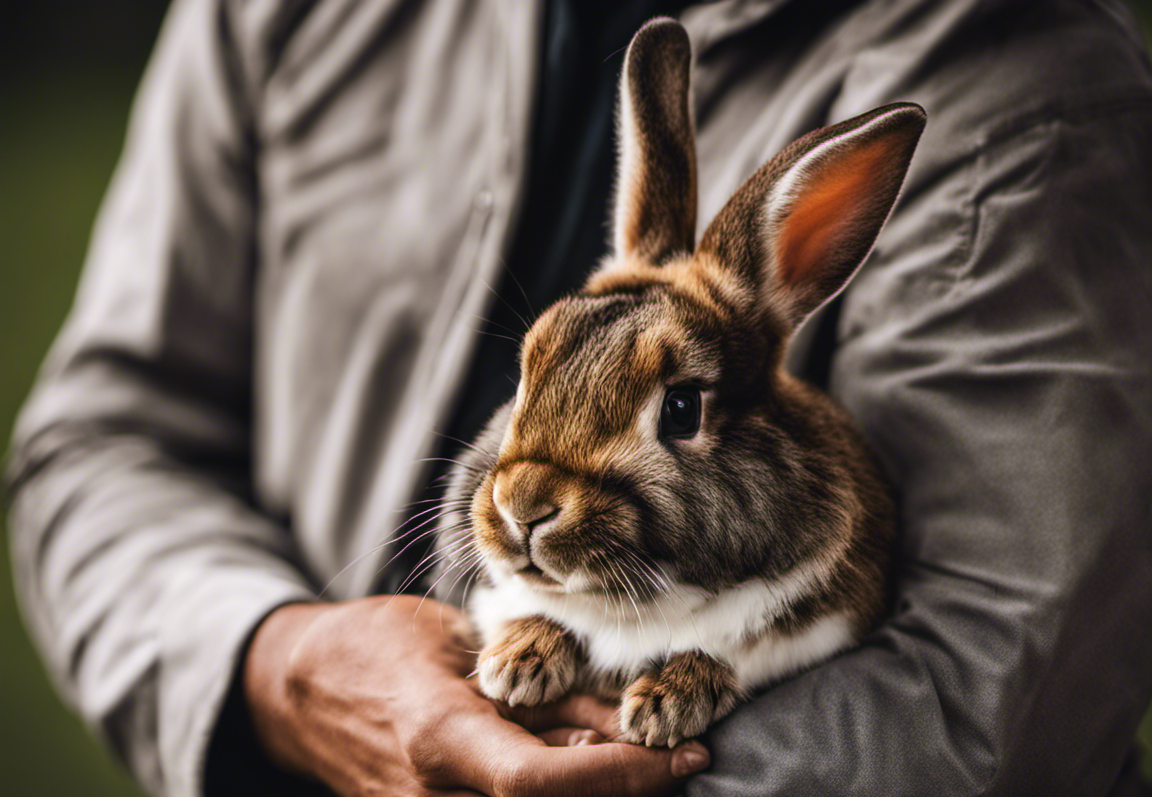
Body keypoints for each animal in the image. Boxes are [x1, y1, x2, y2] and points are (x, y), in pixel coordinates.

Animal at [431, 17, 924, 748]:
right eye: (525, 372)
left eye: (683, 408)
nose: (523, 507)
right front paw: (517, 662)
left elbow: (733, 654)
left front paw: (668, 703)